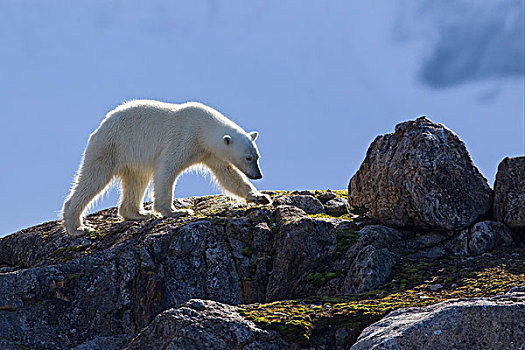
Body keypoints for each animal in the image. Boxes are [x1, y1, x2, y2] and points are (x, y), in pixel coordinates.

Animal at [62, 101, 270, 238]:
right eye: (248, 158)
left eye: (258, 157)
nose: (258, 175)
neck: (203, 127)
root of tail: (101, 126)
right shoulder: (185, 138)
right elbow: (167, 168)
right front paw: (177, 211)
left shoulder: (210, 152)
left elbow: (228, 174)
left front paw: (259, 197)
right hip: (111, 146)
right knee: (94, 178)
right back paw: (77, 228)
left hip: (131, 156)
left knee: (137, 180)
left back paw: (139, 213)